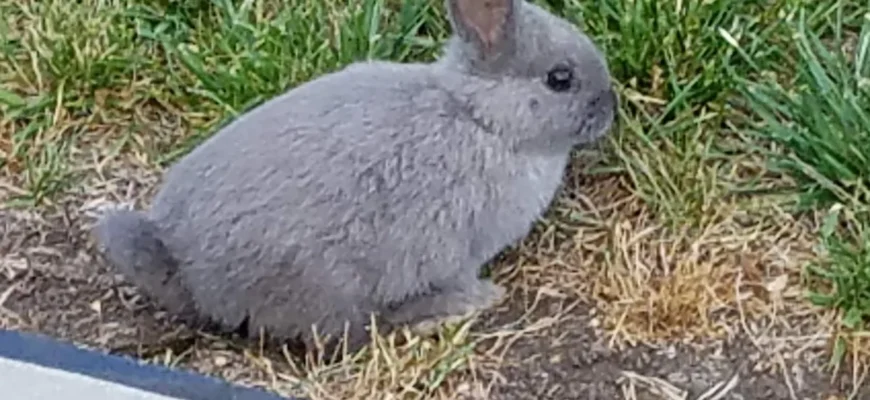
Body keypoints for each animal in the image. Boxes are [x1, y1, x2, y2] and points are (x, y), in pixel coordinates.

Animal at [94, 0, 617, 352]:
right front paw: (479, 296)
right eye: (559, 79)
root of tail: (187, 268)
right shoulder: (456, 244)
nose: (610, 109)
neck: (480, 117)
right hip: (331, 284)